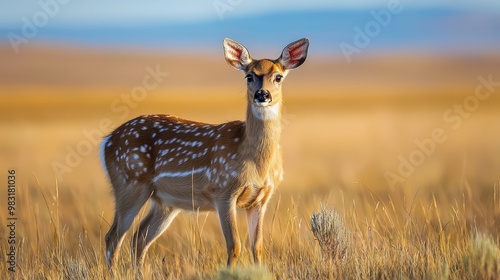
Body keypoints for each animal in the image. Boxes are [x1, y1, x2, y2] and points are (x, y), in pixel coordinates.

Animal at [101, 37, 308, 270]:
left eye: (278, 77)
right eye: (249, 76)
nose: (262, 94)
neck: (255, 162)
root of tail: (107, 141)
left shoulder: (260, 199)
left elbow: (258, 247)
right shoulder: (223, 190)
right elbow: (234, 246)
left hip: (164, 201)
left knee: (139, 237)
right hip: (129, 182)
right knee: (113, 236)